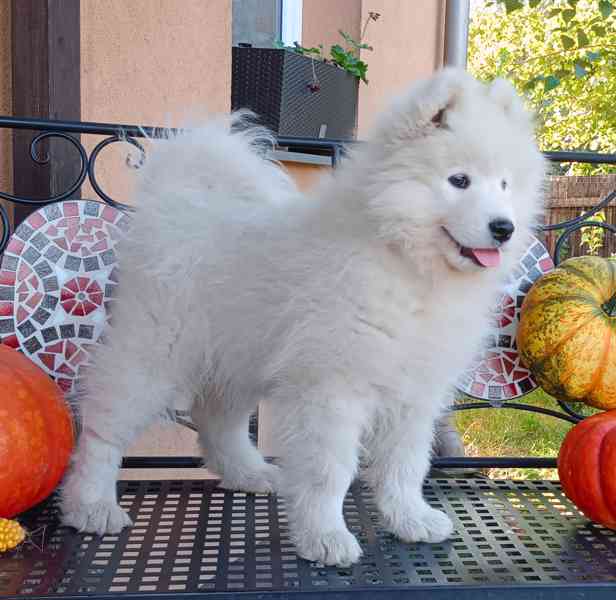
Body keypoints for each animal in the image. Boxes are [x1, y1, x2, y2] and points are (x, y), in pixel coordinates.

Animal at [61, 69, 544, 568]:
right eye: (459, 180)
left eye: (504, 185)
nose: (504, 228)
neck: (406, 263)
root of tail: (174, 200)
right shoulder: (332, 387)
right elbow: (329, 471)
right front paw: (325, 536)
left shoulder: (414, 390)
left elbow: (405, 464)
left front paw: (411, 519)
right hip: (157, 351)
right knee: (104, 425)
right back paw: (91, 504)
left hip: (240, 355)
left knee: (216, 419)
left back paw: (249, 473)